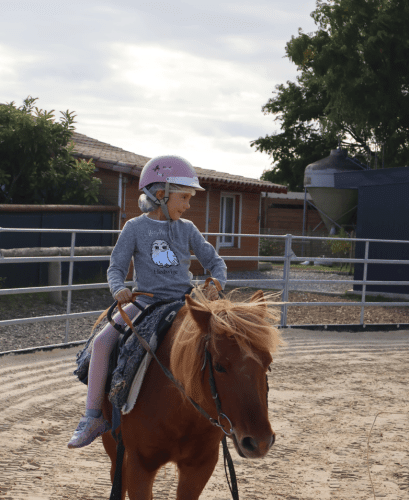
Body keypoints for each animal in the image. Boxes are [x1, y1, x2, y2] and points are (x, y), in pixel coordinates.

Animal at [101, 290, 284, 500]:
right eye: (218, 366)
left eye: (268, 363)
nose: (259, 442)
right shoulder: (139, 466)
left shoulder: (199, 467)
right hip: (112, 443)